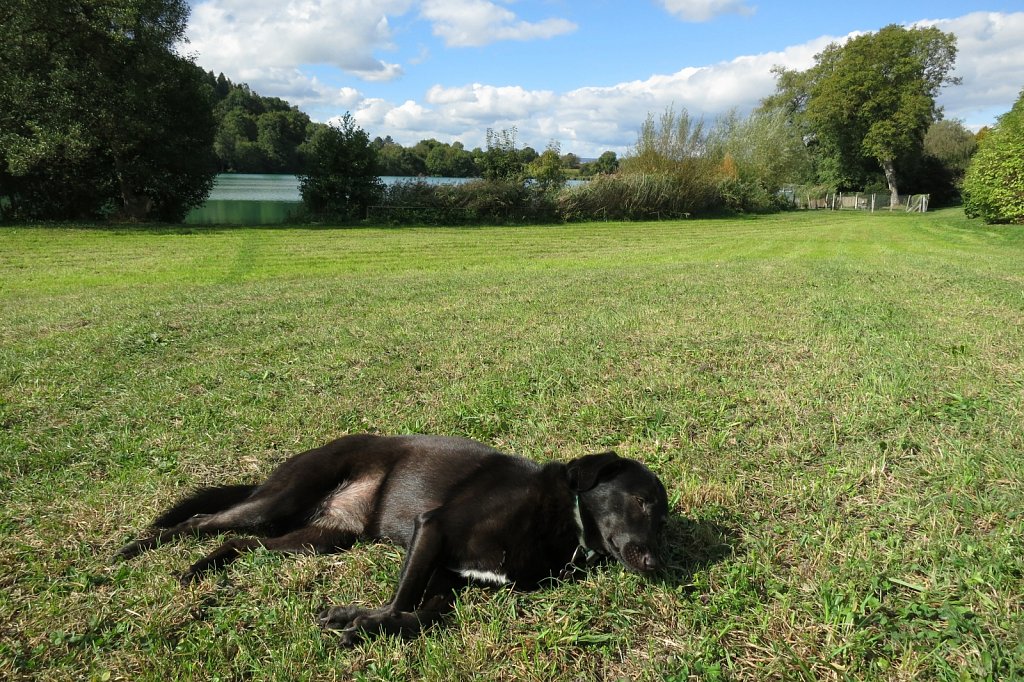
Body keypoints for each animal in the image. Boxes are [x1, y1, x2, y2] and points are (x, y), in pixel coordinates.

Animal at [114, 432, 671, 638]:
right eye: (643, 502)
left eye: (665, 520)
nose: (656, 564)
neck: (564, 515)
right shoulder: (433, 529)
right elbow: (402, 602)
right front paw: (359, 621)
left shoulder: (449, 574)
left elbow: (425, 613)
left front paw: (361, 623)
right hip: (281, 502)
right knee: (198, 523)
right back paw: (139, 551)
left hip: (321, 538)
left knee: (239, 543)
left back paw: (203, 568)